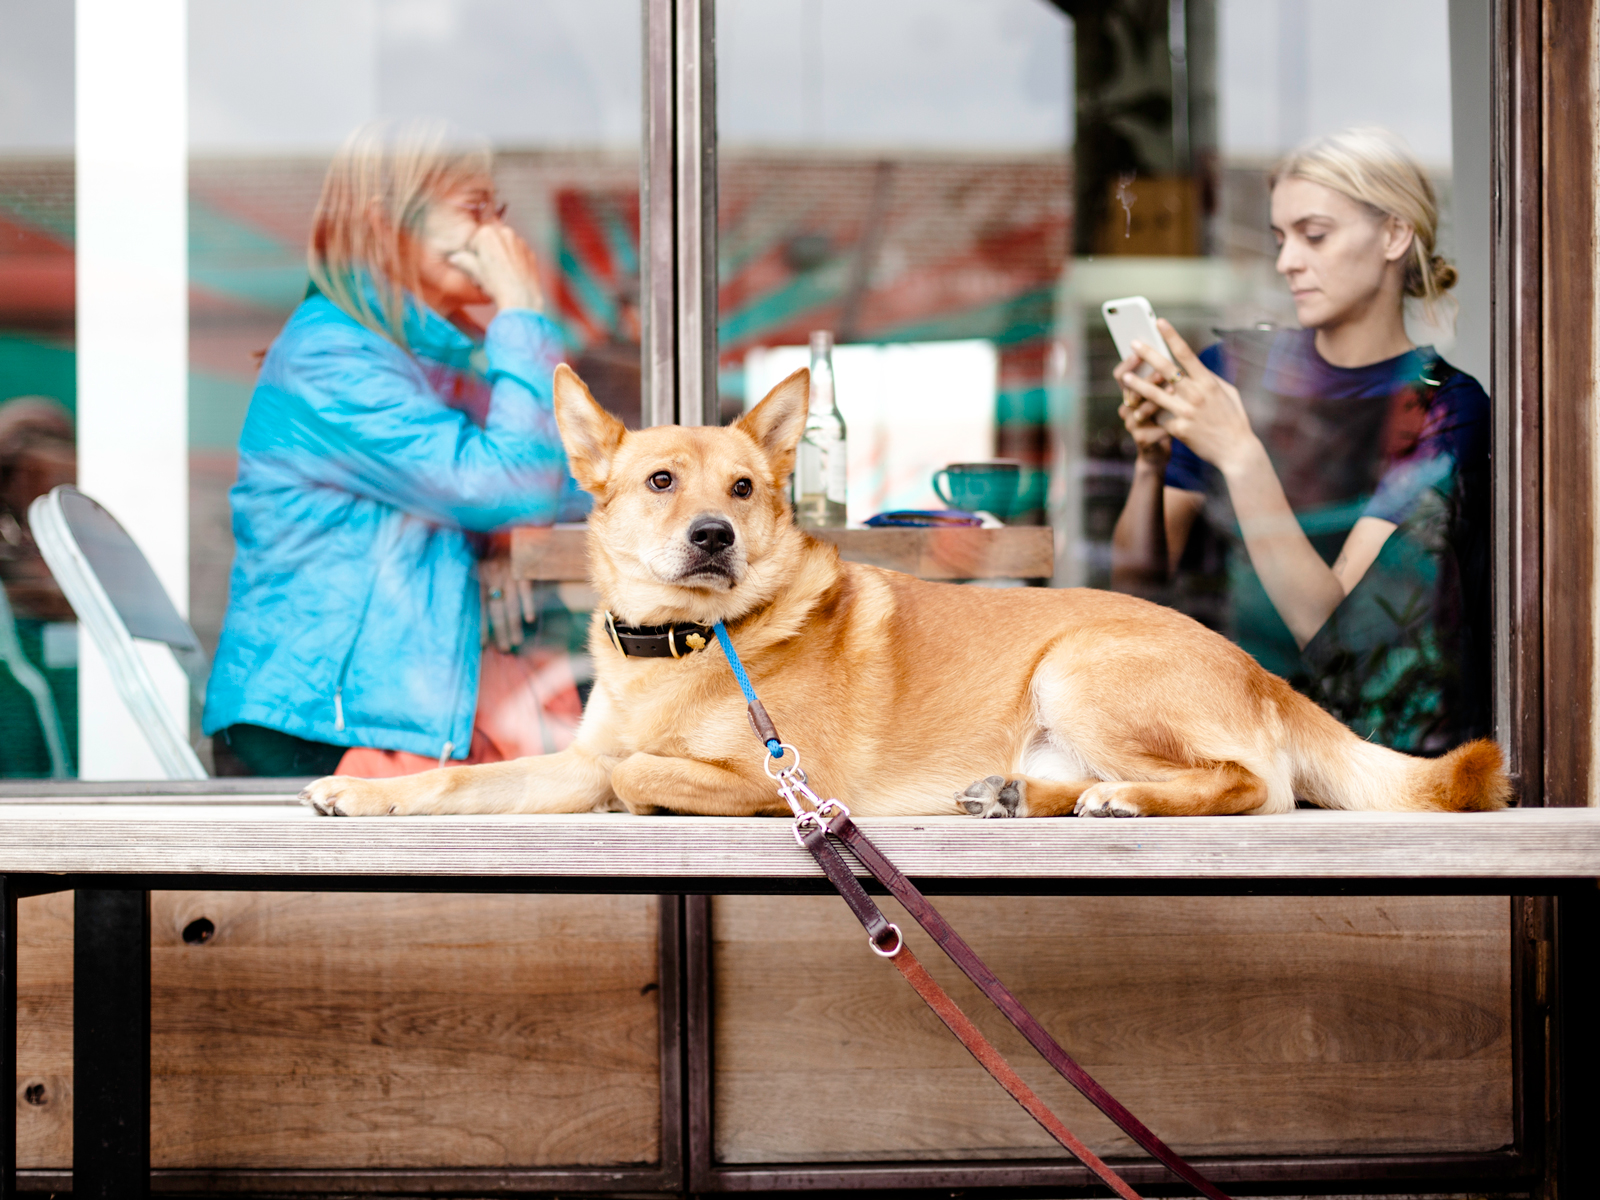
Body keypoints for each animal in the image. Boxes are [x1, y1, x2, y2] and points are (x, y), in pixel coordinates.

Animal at [302, 364, 1510, 819]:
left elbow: (641, 770)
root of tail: (1261, 673)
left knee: (1255, 787)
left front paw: (642, 789)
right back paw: (1021, 798)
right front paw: (369, 795)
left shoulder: (780, 778)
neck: (689, 647)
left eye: (744, 488)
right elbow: (475, 781)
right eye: (659, 481)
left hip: (1081, 666)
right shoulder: (570, 755)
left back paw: (1124, 800)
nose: (713, 534)